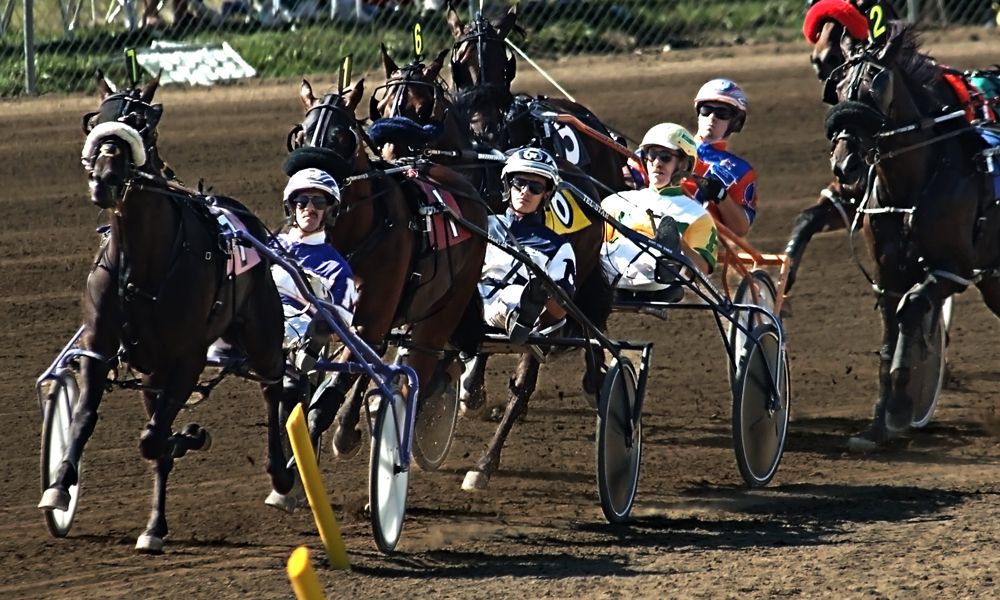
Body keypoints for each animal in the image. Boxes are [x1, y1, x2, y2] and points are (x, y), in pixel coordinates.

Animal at [37, 73, 292, 552]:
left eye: (142, 125)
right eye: (95, 121)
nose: (106, 178)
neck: (144, 264)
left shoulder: (187, 356)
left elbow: (153, 439)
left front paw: (187, 436)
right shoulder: (102, 347)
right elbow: (86, 418)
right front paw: (60, 486)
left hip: (263, 334)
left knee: (275, 390)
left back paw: (281, 478)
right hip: (152, 370)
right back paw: (154, 525)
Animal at [286, 78, 488, 468]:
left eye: (340, 136)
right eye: (301, 134)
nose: (309, 188)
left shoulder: (369, 322)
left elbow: (334, 390)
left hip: (446, 309)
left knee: (424, 364)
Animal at [826, 23, 1000, 445]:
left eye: (878, 87)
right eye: (839, 87)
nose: (845, 165)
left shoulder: (954, 269)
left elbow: (913, 306)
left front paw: (903, 407)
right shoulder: (887, 274)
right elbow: (890, 334)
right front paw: (876, 427)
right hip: (995, 280)